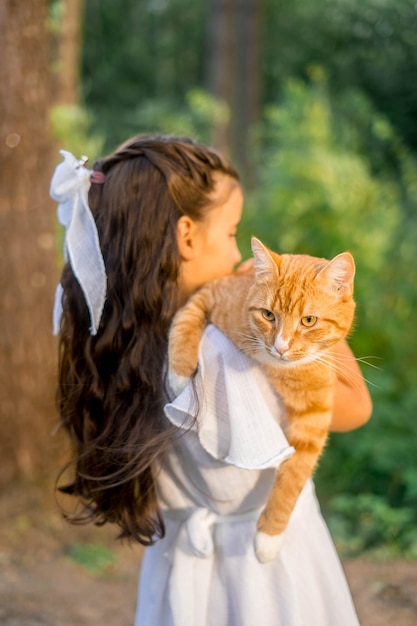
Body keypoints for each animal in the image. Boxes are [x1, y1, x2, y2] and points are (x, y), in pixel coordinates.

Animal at [167, 235, 356, 560]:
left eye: (308, 320)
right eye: (268, 315)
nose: (280, 347)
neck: (282, 371)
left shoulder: (314, 418)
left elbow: (293, 479)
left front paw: (269, 535)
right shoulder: (207, 294)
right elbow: (185, 321)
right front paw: (178, 373)